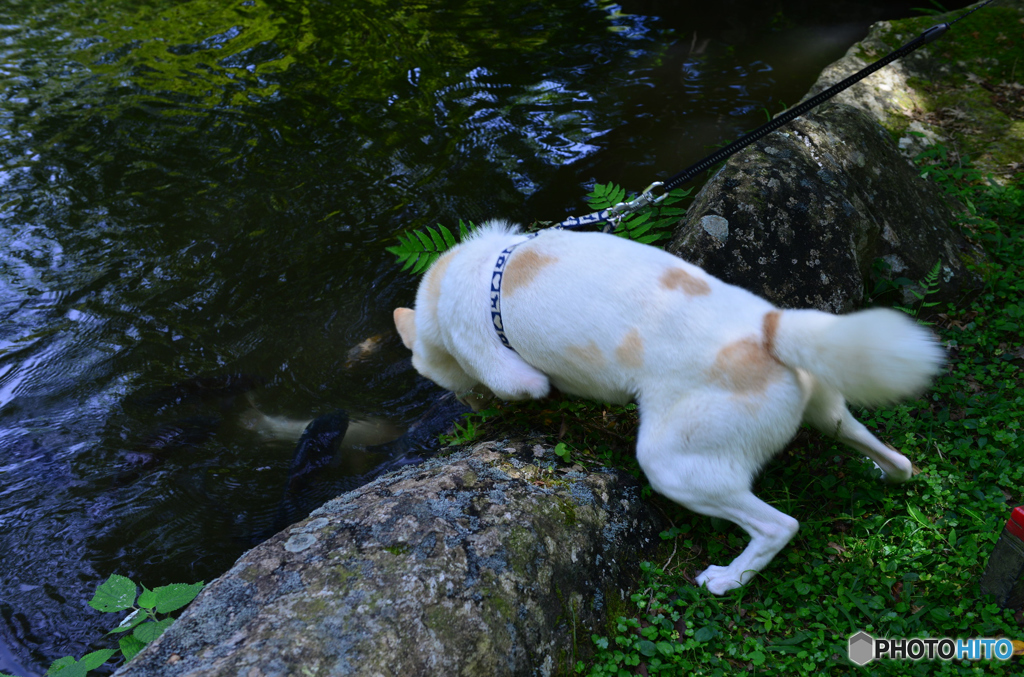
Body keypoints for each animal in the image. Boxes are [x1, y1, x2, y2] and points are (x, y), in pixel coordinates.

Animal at [391, 220, 942, 589]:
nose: (467, 406)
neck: (481, 269)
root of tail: (769, 331)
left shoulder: (509, 371)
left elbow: (525, 385)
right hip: (830, 414)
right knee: (895, 458)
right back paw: (885, 472)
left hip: (672, 466)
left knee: (779, 526)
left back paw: (728, 578)